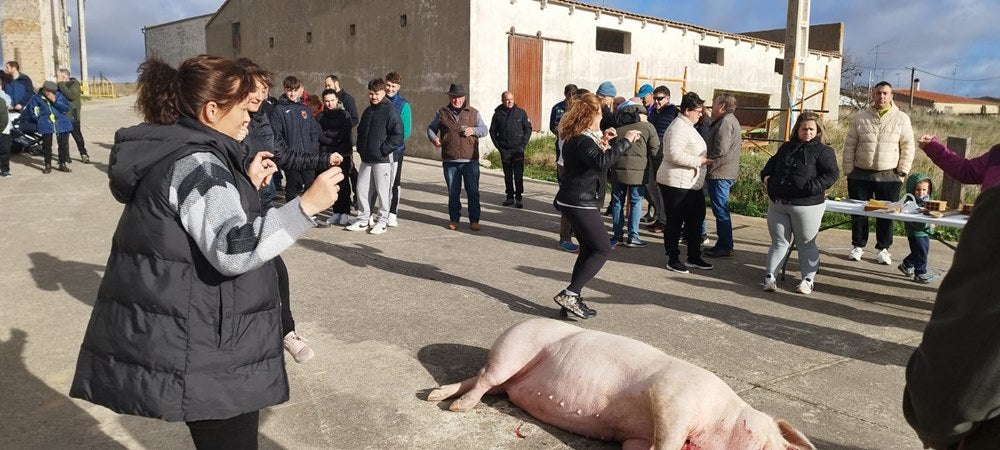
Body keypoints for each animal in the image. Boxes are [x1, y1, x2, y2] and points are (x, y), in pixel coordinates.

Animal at [426, 318, 816, 448]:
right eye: (771, 437)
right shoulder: (672, 399)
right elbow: (668, 438)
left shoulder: (635, 437)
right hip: (514, 348)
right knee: (483, 379)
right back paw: (454, 407)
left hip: (506, 378)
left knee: (476, 378)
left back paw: (432, 396)